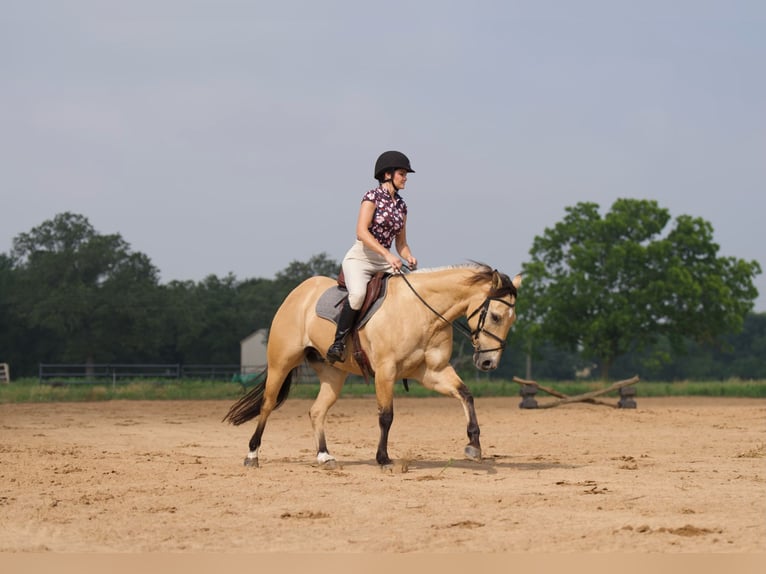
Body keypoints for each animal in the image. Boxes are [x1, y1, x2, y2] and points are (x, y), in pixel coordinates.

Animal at [222, 264, 520, 470]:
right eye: (495, 316)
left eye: (511, 320)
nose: (488, 362)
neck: (423, 312)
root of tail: (298, 293)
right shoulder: (386, 371)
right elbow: (386, 416)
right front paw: (383, 458)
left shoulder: (432, 373)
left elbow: (466, 395)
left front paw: (474, 445)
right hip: (281, 363)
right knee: (268, 404)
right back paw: (252, 455)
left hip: (333, 374)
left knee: (317, 411)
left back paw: (324, 456)